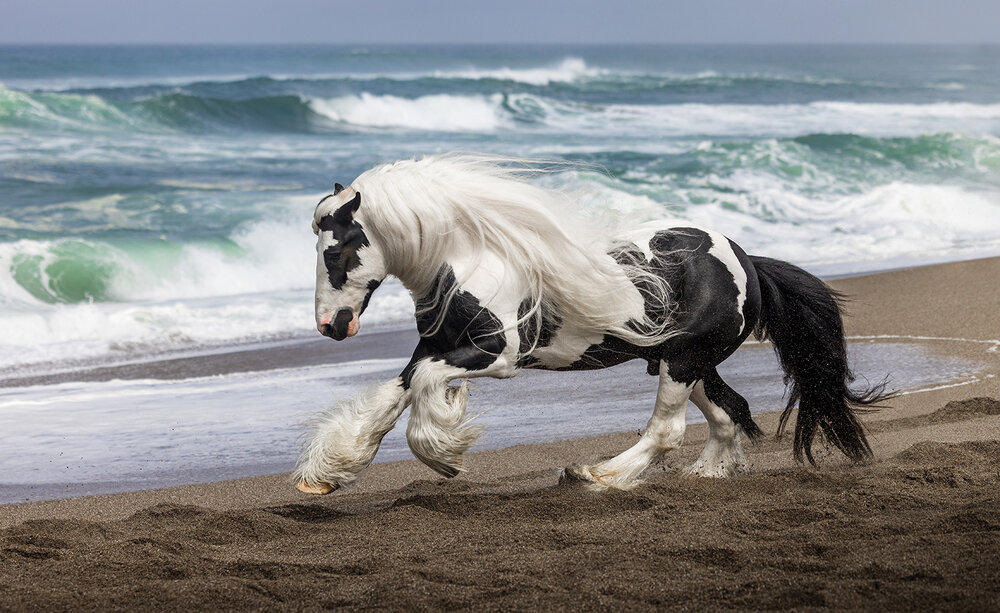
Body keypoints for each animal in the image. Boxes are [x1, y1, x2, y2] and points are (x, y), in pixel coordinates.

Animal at [292, 154, 888, 495]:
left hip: (681, 361)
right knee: (729, 412)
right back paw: (706, 475)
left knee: (668, 431)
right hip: (684, 362)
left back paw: (593, 476)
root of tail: (748, 263)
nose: (330, 326)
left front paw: (445, 456)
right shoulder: (435, 345)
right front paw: (326, 475)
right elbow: (394, 393)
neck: (474, 259)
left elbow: (422, 389)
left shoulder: (496, 356)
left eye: (337, 249)